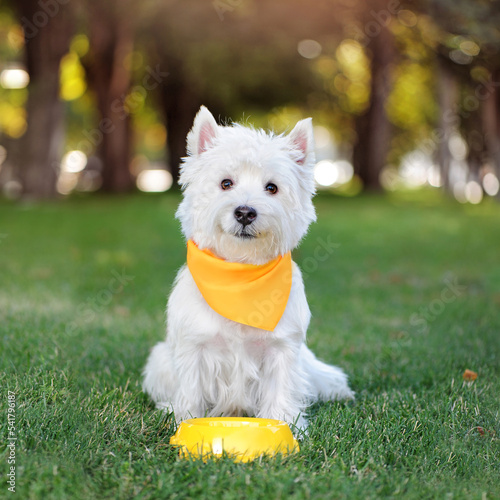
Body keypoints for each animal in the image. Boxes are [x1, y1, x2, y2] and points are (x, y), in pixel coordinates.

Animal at [144, 106, 356, 430]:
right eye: (225, 183)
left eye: (272, 188)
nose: (245, 212)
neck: (241, 274)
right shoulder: (194, 345)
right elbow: (191, 388)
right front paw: (185, 419)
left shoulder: (281, 346)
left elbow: (281, 387)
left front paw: (285, 423)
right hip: (159, 361)